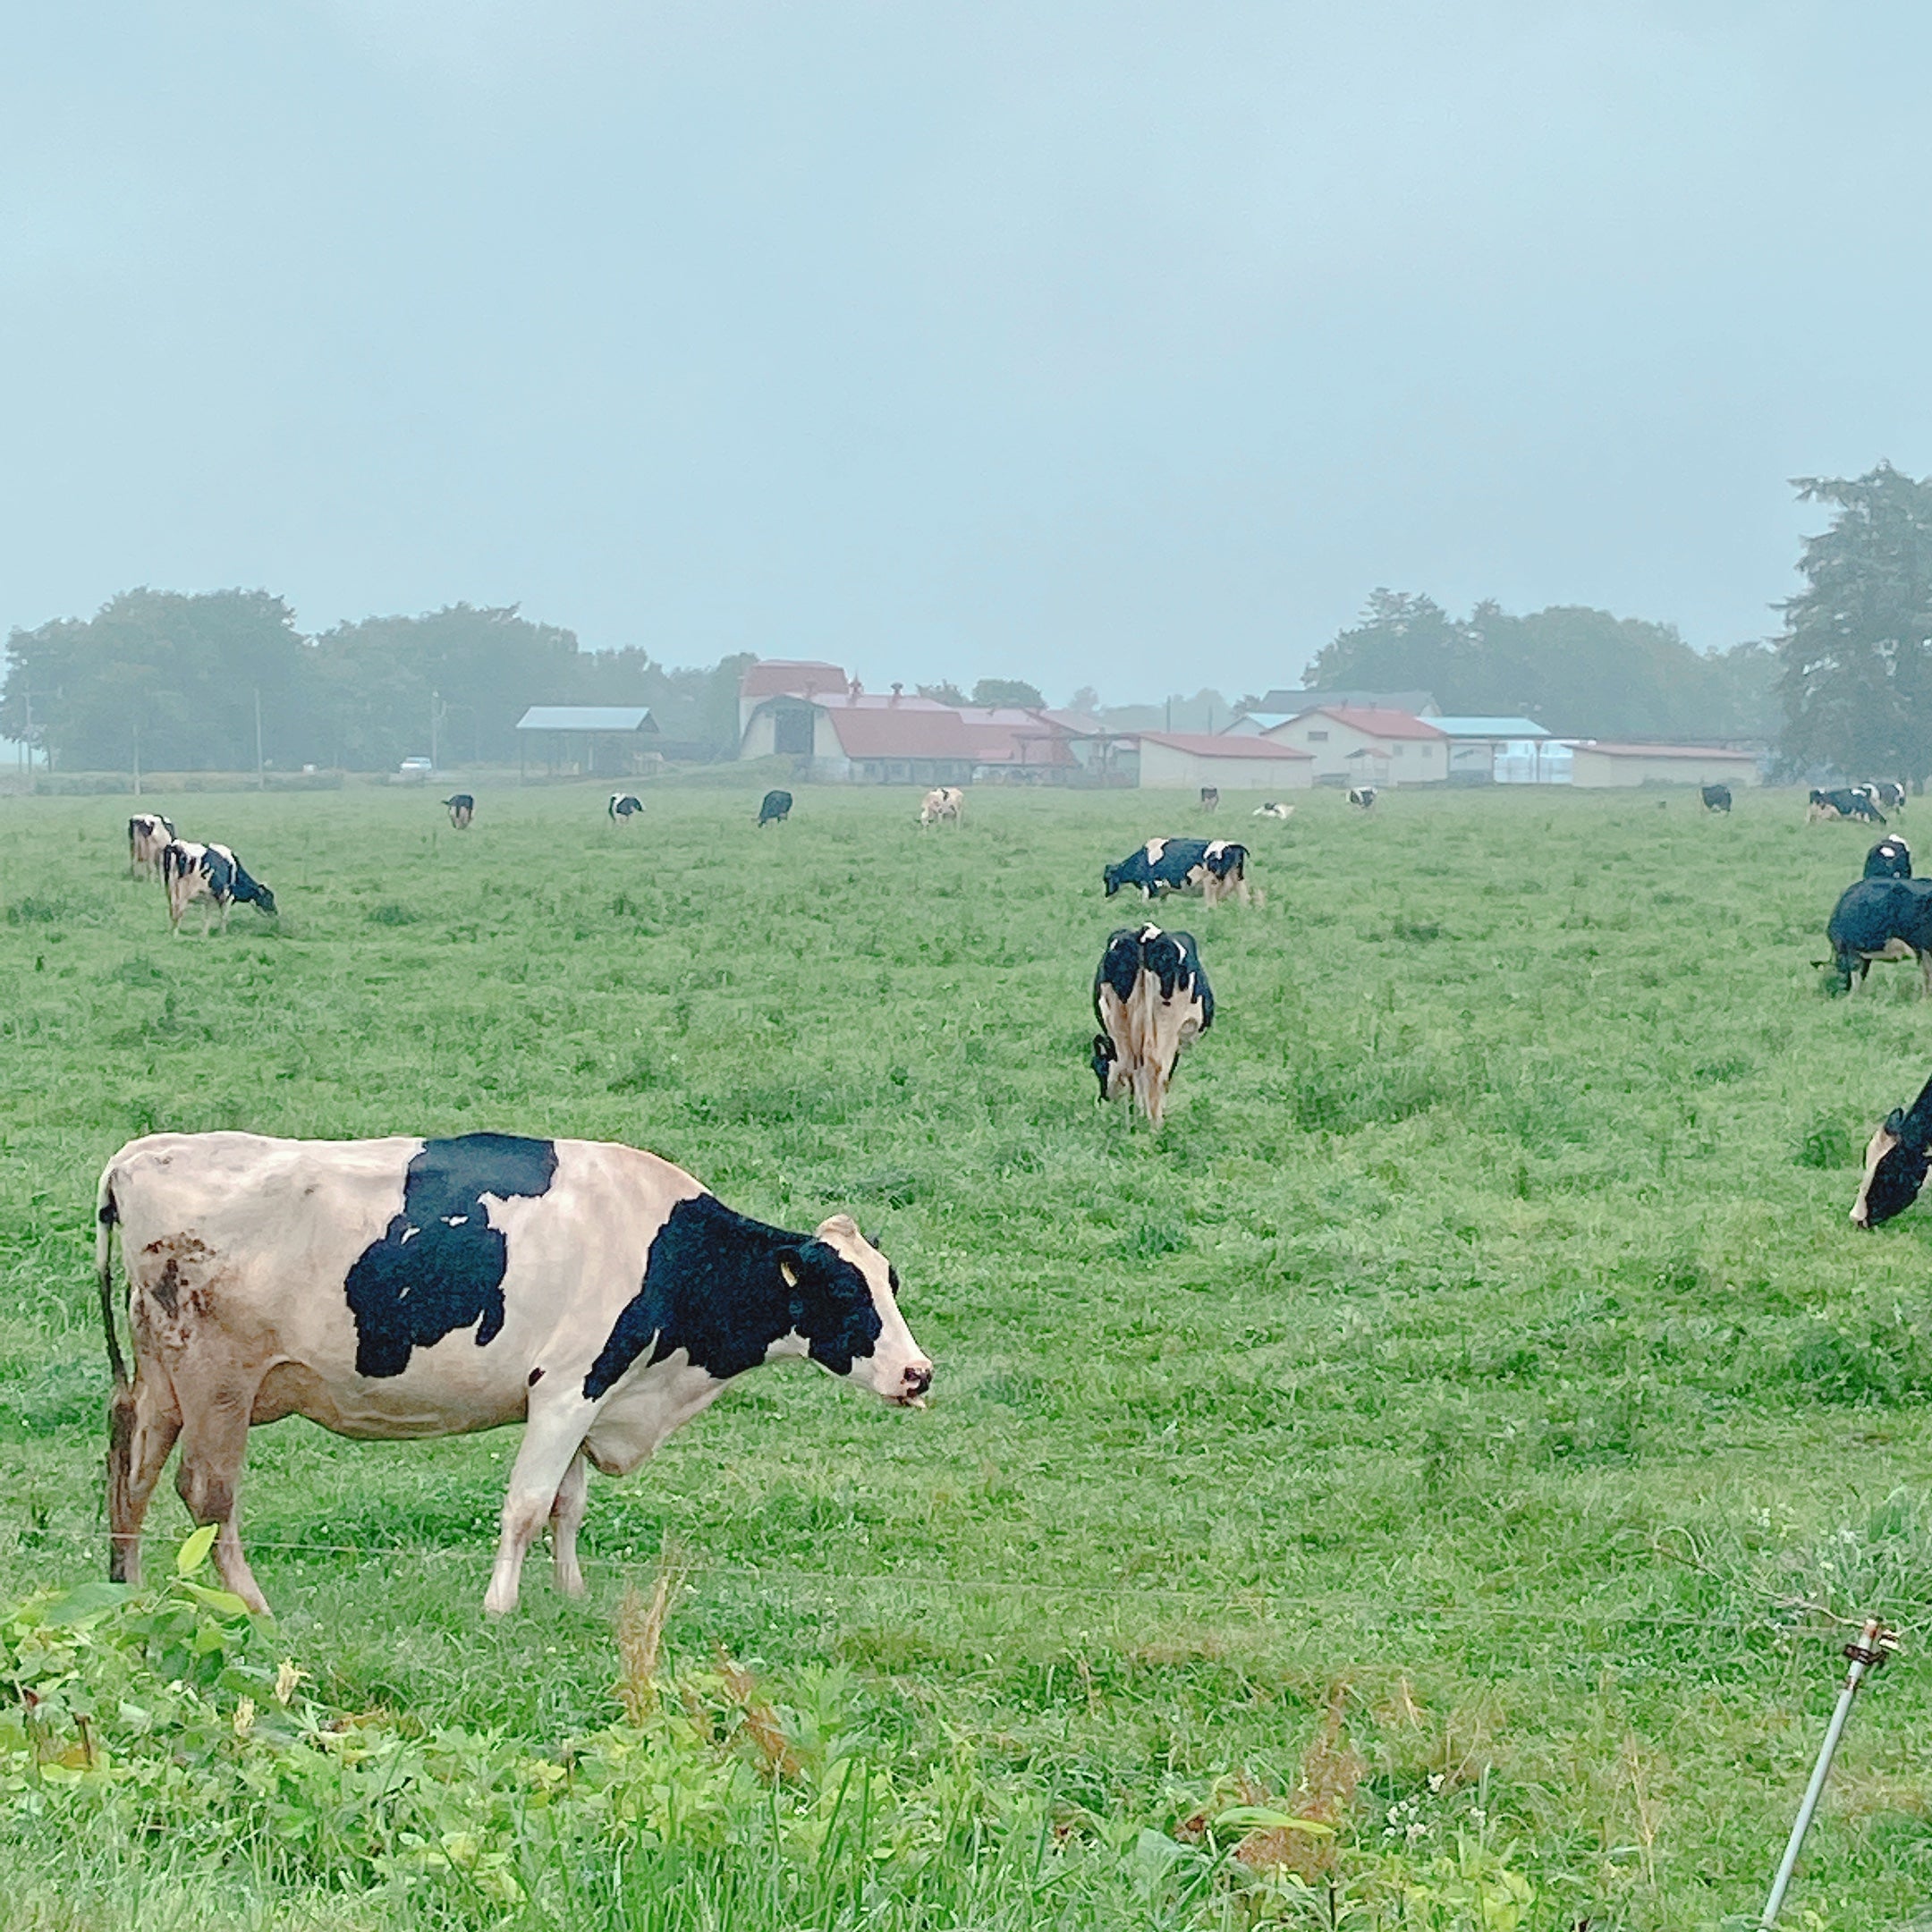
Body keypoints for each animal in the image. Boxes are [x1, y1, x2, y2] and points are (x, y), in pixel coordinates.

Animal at [96, 1128, 927, 1614]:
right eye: (846, 1291)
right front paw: (501, 1606)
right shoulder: (568, 1387)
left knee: (133, 1469)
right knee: (206, 1494)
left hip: (163, 1379)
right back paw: (254, 1607)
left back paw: (127, 1592)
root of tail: (139, 1154)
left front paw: (572, 1594)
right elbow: (527, 1505)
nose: (919, 1374)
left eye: (891, 1281)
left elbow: (567, 1506)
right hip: (217, 1380)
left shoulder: (595, 1396)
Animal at [160, 842, 275, 938]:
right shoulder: (227, 896)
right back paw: (176, 934)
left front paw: (204, 934)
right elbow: (224, 916)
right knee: (179, 911)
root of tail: (177, 846)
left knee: (172, 909)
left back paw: (170, 932)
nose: (276, 913)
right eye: (268, 898)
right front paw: (222, 933)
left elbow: (207, 916)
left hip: (170, 888)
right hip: (184, 891)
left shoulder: (209, 897)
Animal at [1097, 923, 1213, 1128]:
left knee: (1131, 1066)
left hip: (1120, 1022)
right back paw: (1156, 1124)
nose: (1104, 1099)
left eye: (1098, 1067)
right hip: (1167, 1023)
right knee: (1156, 1067)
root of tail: (1144, 934)